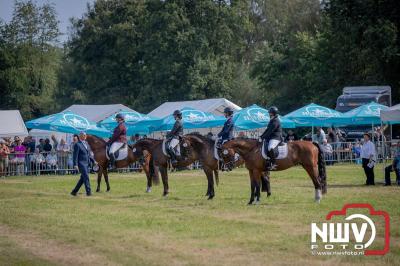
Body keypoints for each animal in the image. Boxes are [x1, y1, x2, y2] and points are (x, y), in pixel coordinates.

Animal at [131, 133, 268, 200]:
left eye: (183, 145)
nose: (141, 162)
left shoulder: (162, 166)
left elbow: (165, 180)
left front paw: (165, 192)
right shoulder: (207, 167)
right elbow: (210, 181)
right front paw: (209, 194)